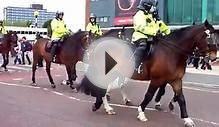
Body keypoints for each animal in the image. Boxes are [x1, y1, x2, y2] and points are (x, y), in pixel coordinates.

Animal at [79, 20, 217, 127]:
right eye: (208, 37)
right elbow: (149, 95)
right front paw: (141, 112)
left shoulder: (176, 80)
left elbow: (181, 99)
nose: (214, 57)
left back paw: (106, 106)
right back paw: (104, 106)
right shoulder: (157, 79)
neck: (172, 52)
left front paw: (187, 119)